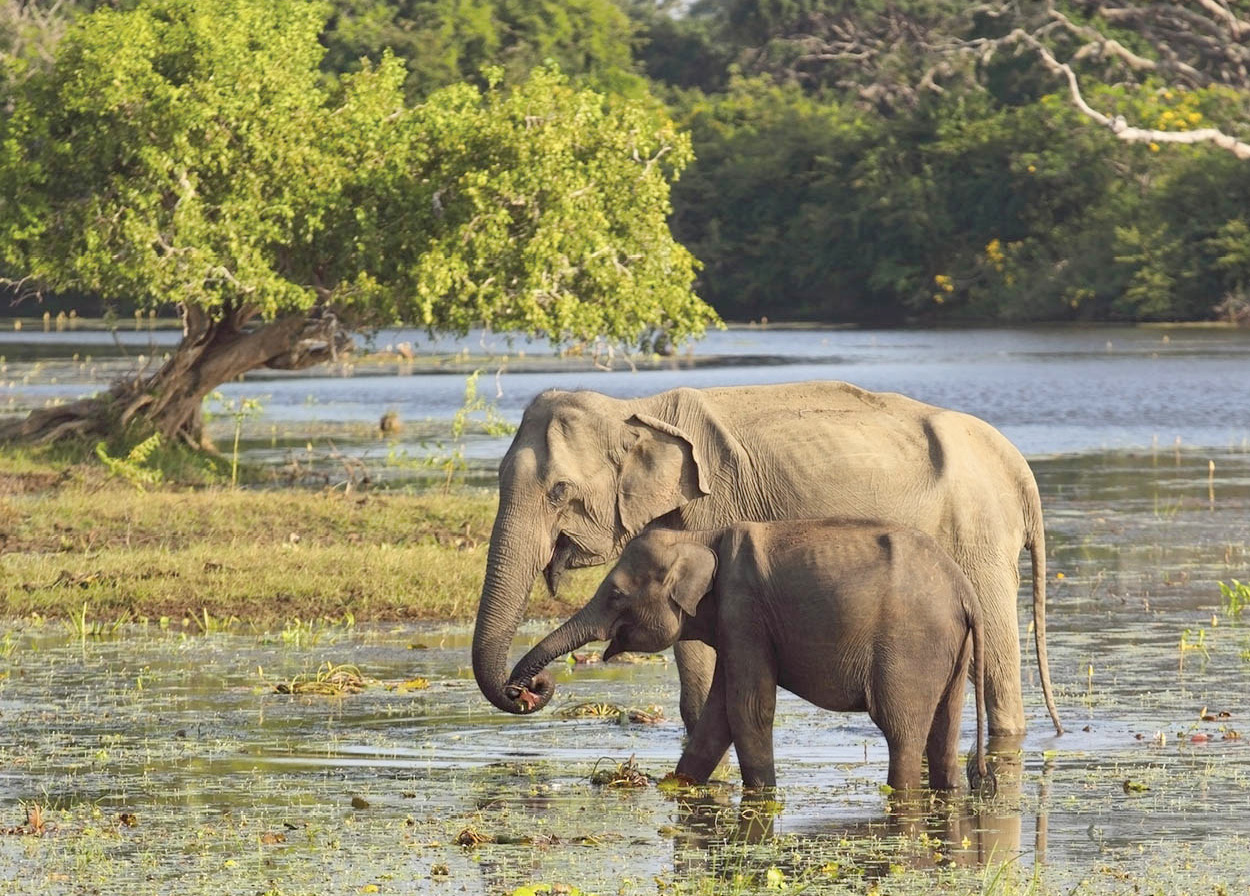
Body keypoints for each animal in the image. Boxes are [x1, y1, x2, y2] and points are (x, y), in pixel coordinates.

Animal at [472, 379, 1060, 739]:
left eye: (558, 491)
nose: (530, 691)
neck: (634, 409)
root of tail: (1019, 467)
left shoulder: (713, 507)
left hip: (978, 532)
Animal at [505, 517, 995, 794]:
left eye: (616, 595)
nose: (527, 690)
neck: (700, 537)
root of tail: (966, 592)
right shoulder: (732, 623)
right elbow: (718, 714)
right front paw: (675, 784)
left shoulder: (744, 610)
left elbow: (747, 708)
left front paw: (762, 795)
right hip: (949, 651)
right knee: (944, 730)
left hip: (911, 646)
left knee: (901, 731)